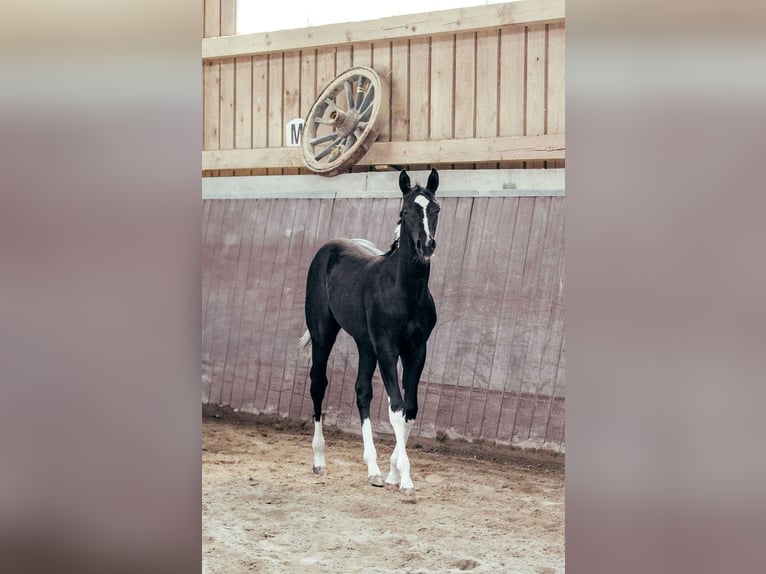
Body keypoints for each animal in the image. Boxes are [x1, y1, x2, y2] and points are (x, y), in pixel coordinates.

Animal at [298, 168, 440, 502]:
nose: (426, 246)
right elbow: (396, 407)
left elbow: (410, 409)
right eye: (406, 210)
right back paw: (319, 460)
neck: (402, 289)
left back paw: (373, 470)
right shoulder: (387, 348)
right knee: (318, 384)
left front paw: (392, 474)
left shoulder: (417, 351)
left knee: (362, 391)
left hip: (365, 344)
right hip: (324, 335)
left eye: (436, 209)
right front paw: (406, 481)